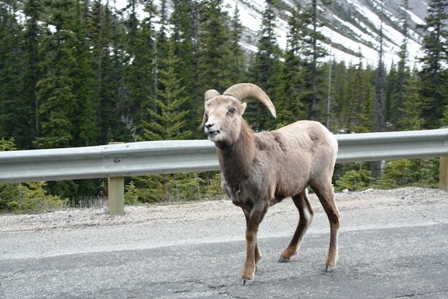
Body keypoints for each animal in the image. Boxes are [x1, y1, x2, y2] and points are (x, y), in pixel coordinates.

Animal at [203, 83, 340, 284]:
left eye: (231, 110)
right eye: (208, 111)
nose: (210, 126)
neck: (248, 163)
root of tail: (327, 133)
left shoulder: (261, 203)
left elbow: (250, 234)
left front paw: (247, 275)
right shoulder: (246, 205)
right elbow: (251, 232)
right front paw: (256, 264)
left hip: (321, 183)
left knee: (333, 217)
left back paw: (330, 264)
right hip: (299, 191)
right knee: (306, 215)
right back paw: (286, 255)